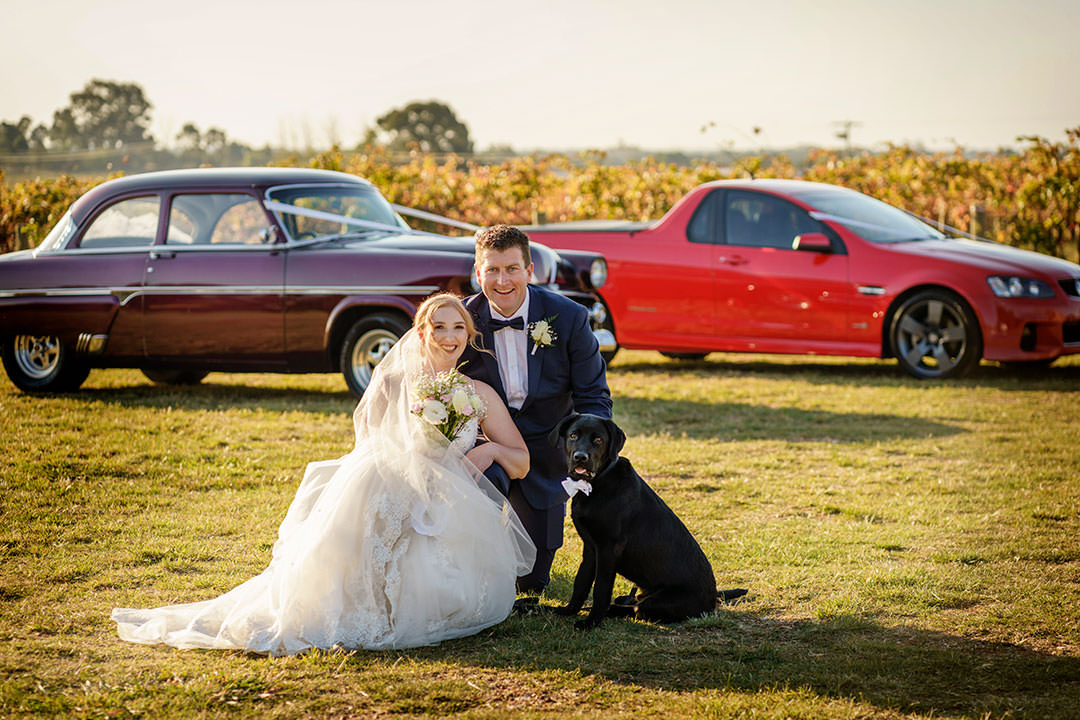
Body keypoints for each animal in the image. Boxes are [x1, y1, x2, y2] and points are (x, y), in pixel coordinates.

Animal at [548, 414, 743, 626]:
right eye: (573, 435)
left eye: (598, 440)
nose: (580, 457)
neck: (597, 483)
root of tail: (713, 598)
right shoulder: (591, 548)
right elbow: (581, 583)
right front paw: (566, 611)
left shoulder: (608, 549)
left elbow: (601, 589)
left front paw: (591, 623)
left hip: (657, 602)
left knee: (636, 609)